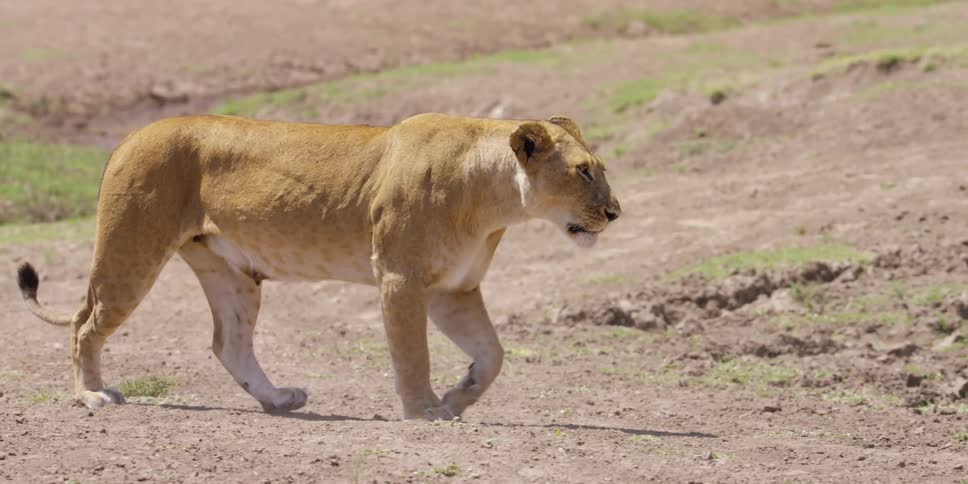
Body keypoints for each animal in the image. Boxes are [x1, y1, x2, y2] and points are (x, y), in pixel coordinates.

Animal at [16, 113, 621, 420]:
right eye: (583, 171)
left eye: (600, 168)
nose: (615, 212)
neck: (495, 199)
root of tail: (130, 135)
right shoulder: (401, 277)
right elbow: (413, 353)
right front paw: (424, 409)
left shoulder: (454, 288)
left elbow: (493, 354)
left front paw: (461, 394)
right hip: (132, 250)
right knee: (85, 324)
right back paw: (92, 394)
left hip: (231, 273)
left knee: (229, 343)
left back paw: (278, 399)